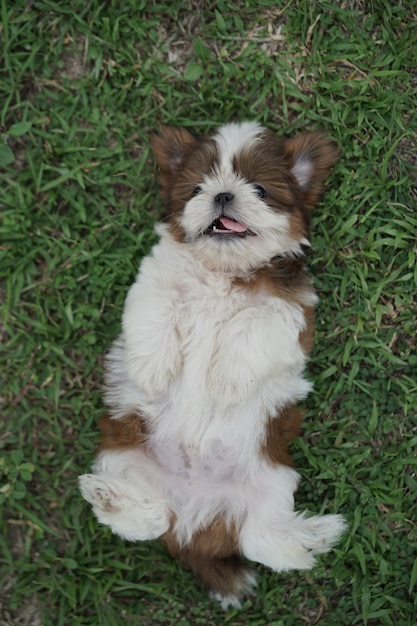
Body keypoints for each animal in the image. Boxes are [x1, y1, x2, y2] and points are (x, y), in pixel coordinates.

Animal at [78, 120, 344, 604]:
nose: (222, 195)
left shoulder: (293, 314)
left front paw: (226, 381)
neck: (222, 270)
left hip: (273, 481)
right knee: (151, 521)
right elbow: (155, 310)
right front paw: (150, 370)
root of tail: (194, 515)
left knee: (258, 538)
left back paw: (313, 537)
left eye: (259, 188)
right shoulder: (153, 281)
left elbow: (255, 324)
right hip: (122, 456)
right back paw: (112, 499)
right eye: (198, 187)